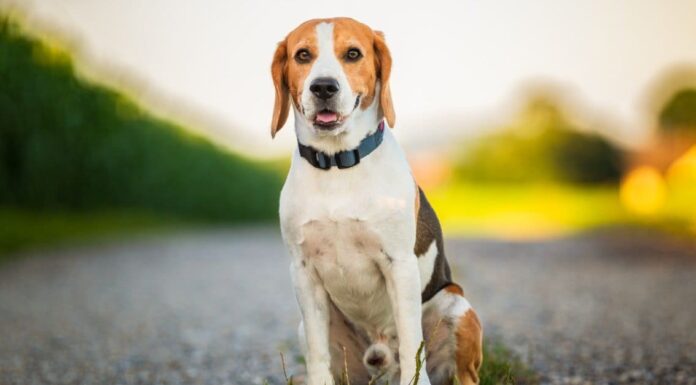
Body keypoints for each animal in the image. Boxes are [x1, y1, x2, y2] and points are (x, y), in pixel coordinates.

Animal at [272, 16, 484, 382]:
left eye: (353, 54)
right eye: (302, 55)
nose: (323, 87)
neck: (338, 163)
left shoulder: (399, 265)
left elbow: (413, 342)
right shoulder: (303, 271)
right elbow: (316, 352)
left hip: (457, 306)